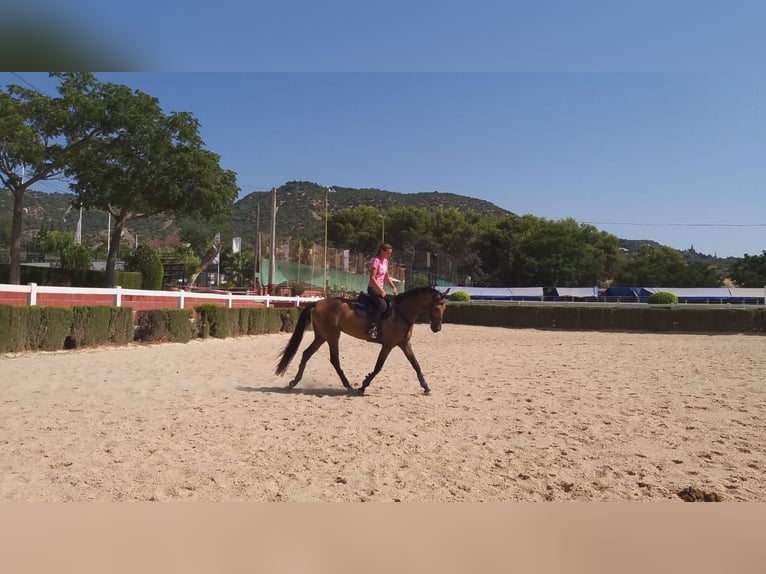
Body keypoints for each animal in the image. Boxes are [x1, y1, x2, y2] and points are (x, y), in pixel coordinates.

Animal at [276, 288, 450, 396]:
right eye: (437, 307)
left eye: (445, 308)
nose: (437, 328)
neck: (401, 313)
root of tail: (318, 303)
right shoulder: (388, 345)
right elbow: (378, 366)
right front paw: (363, 385)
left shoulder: (404, 344)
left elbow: (416, 364)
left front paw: (426, 387)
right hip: (332, 336)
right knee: (334, 360)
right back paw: (348, 386)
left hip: (321, 336)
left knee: (306, 354)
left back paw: (294, 382)